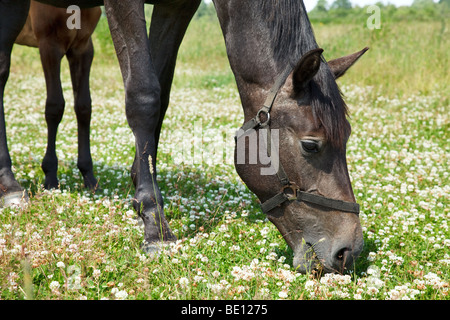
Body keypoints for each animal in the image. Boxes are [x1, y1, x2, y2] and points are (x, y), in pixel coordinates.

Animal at [15, 1, 102, 190]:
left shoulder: (82, 47)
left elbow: (84, 106)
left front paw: (88, 175)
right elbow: (55, 106)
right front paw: (50, 175)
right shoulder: (49, 46)